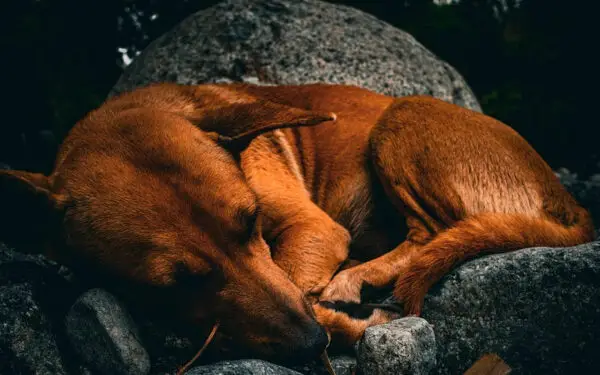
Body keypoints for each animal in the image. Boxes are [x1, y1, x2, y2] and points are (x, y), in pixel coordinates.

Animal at [0, 83, 592, 362]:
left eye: (252, 224)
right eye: (178, 282)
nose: (312, 346)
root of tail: (570, 203)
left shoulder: (312, 229)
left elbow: (295, 284)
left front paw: (343, 322)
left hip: (401, 116)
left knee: (428, 234)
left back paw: (355, 278)